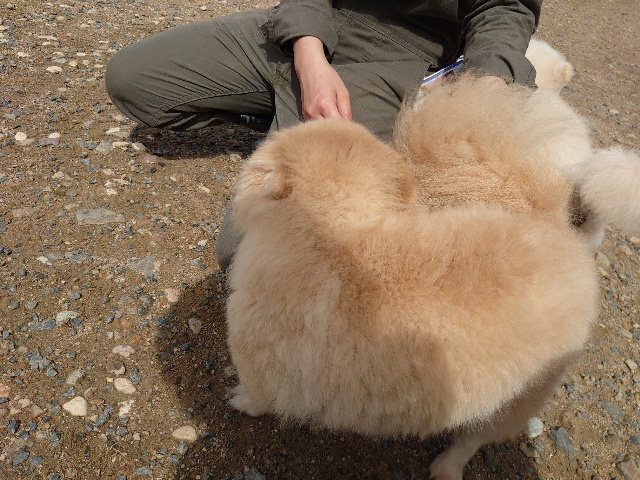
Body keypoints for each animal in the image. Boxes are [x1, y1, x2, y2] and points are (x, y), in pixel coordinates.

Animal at [226, 76, 600, 479]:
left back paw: (446, 467)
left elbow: (259, 395)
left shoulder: (258, 357)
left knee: (472, 439)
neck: (324, 226)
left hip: (515, 399)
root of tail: (556, 226)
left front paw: (241, 402)